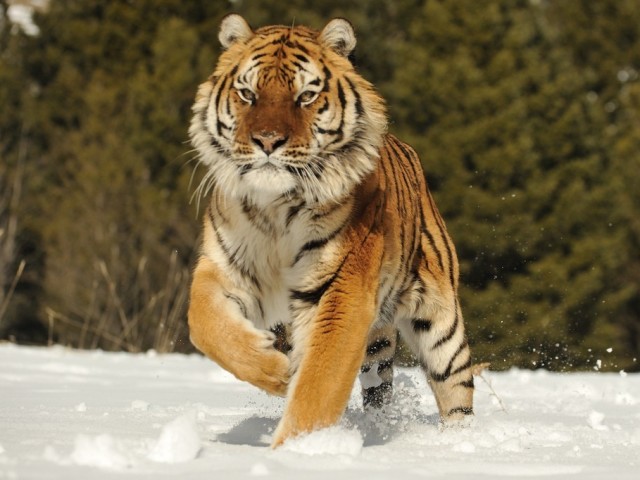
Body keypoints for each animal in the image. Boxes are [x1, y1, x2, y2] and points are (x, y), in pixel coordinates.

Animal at [188, 15, 472, 448]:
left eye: (305, 96)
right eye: (248, 94)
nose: (267, 141)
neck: (275, 208)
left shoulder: (340, 291)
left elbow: (318, 387)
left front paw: (294, 450)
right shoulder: (226, 269)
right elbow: (204, 324)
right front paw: (277, 370)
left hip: (442, 327)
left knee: (457, 392)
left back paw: (460, 444)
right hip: (376, 343)